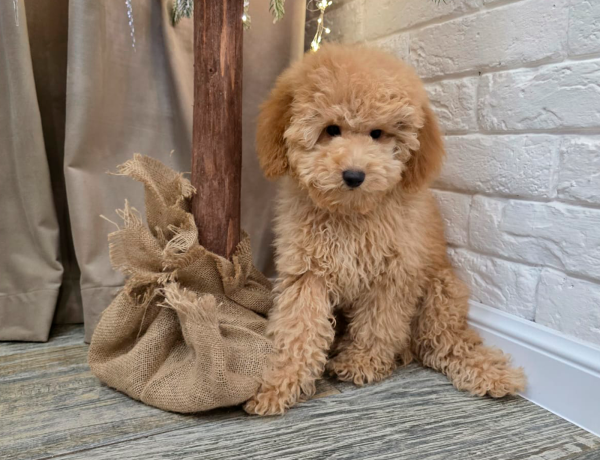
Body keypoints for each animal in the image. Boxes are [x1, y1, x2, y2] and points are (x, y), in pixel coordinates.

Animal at [244, 44, 526, 416]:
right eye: (331, 129)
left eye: (378, 133)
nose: (354, 175)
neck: (350, 215)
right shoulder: (306, 273)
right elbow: (299, 328)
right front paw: (279, 381)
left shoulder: (393, 273)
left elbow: (379, 323)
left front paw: (362, 362)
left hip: (440, 291)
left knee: (443, 342)